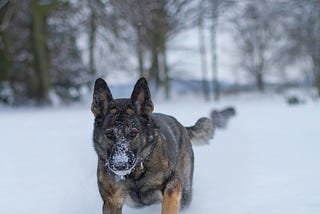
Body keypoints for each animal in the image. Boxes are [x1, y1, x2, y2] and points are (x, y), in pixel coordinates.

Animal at [91, 78, 214, 214]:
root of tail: (181, 125)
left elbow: (169, 200)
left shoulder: (173, 182)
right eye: (109, 134)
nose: (120, 164)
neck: (136, 174)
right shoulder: (112, 202)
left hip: (185, 194)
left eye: (133, 134)